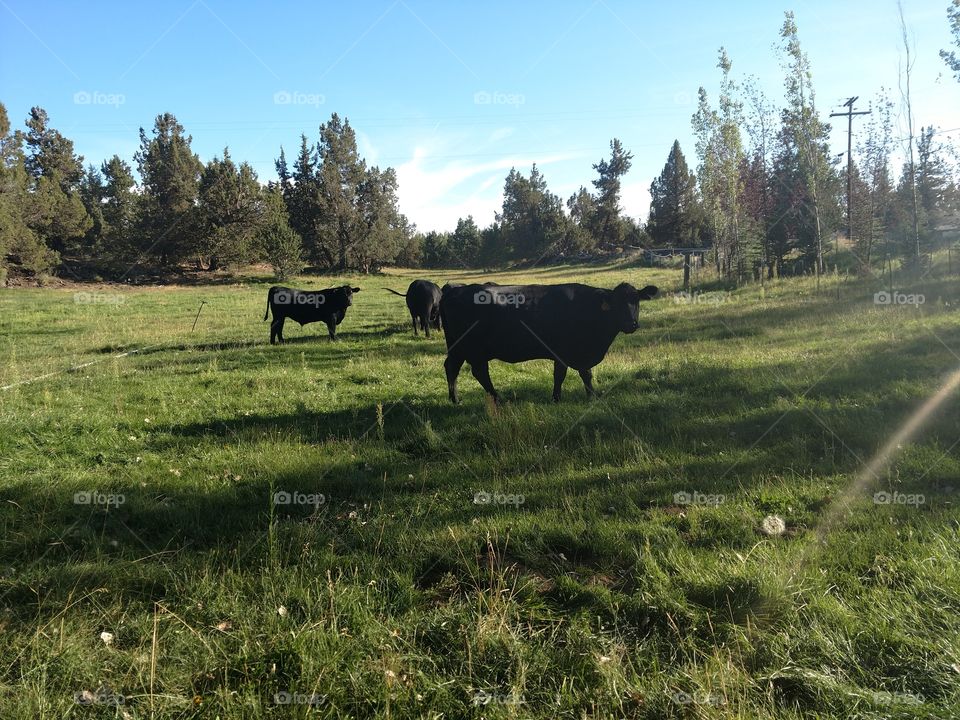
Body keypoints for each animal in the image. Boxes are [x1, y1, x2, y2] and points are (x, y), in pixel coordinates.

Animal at [439, 282, 658, 403]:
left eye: (636, 301)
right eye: (616, 303)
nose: (631, 324)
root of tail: (454, 291)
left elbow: (569, 374)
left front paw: (564, 397)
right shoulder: (570, 350)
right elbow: (577, 374)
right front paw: (583, 397)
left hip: (461, 348)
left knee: (455, 367)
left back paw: (456, 398)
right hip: (471, 348)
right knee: (475, 371)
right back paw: (494, 399)